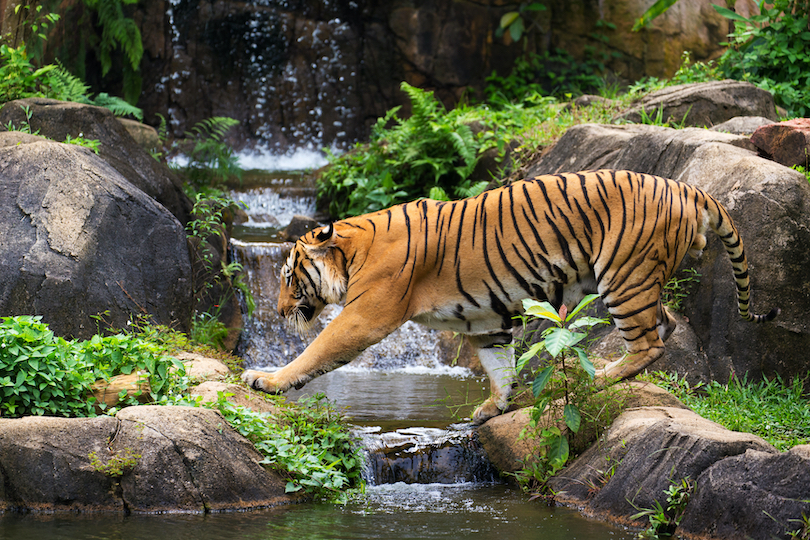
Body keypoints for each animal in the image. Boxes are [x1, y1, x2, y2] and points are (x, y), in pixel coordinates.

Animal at [240, 167, 776, 424]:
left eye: (287, 276)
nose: (280, 312)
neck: (353, 249)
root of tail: (688, 188)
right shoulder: (486, 323)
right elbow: (499, 368)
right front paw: (492, 410)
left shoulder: (364, 316)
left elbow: (317, 351)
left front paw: (266, 378)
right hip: (636, 278)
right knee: (664, 323)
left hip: (624, 276)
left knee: (649, 343)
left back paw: (598, 378)